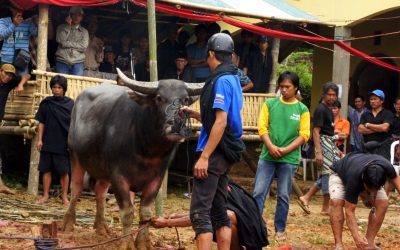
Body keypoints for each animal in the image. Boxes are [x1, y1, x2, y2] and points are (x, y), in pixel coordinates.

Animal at [62, 68, 203, 248]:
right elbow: (128, 212)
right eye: (159, 98)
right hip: (75, 155)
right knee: (76, 188)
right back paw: (68, 224)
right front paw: (126, 243)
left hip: (103, 170)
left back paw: (101, 228)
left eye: (185, 99)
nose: (176, 124)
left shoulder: (156, 177)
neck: (146, 150)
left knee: (100, 192)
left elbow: (145, 213)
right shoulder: (118, 175)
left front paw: (142, 243)